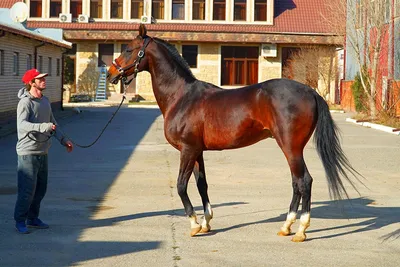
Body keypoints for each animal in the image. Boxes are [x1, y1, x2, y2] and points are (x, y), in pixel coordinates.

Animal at [107, 24, 360, 244]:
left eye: (128, 49)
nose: (110, 74)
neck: (181, 97)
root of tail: (311, 92)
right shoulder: (197, 152)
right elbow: (202, 185)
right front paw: (206, 223)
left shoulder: (187, 150)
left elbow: (180, 185)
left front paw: (194, 225)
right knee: (296, 183)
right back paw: (286, 226)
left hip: (291, 147)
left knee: (303, 181)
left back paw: (300, 231)